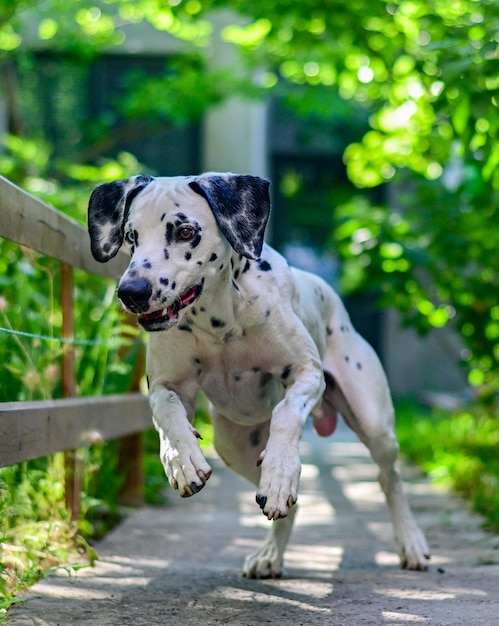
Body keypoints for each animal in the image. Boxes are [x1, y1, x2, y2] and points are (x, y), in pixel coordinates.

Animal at [87, 171, 430, 576]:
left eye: (185, 232)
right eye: (131, 236)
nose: (131, 291)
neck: (219, 319)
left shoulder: (307, 373)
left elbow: (286, 413)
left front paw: (281, 470)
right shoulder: (164, 385)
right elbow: (167, 411)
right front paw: (181, 459)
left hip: (375, 425)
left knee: (390, 479)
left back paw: (410, 542)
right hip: (232, 445)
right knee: (288, 502)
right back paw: (270, 553)